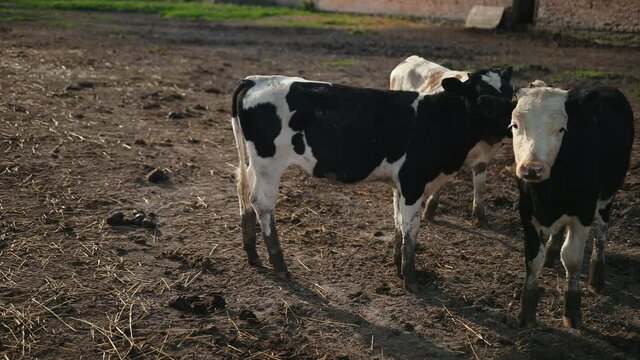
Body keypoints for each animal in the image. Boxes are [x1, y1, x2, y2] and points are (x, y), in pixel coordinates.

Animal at [232, 71, 512, 292]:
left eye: (511, 95)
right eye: (484, 99)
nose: (513, 126)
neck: (438, 120)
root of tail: (256, 79)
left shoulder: (400, 186)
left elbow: (399, 224)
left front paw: (398, 267)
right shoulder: (413, 183)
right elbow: (411, 230)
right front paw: (411, 280)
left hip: (253, 163)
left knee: (243, 190)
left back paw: (253, 254)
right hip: (269, 164)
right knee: (262, 203)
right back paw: (280, 266)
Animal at [388, 54, 512, 224]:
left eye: (510, 95)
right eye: (483, 99)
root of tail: (410, 59)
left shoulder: (482, 159)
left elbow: (480, 186)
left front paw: (480, 216)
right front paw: (429, 210)